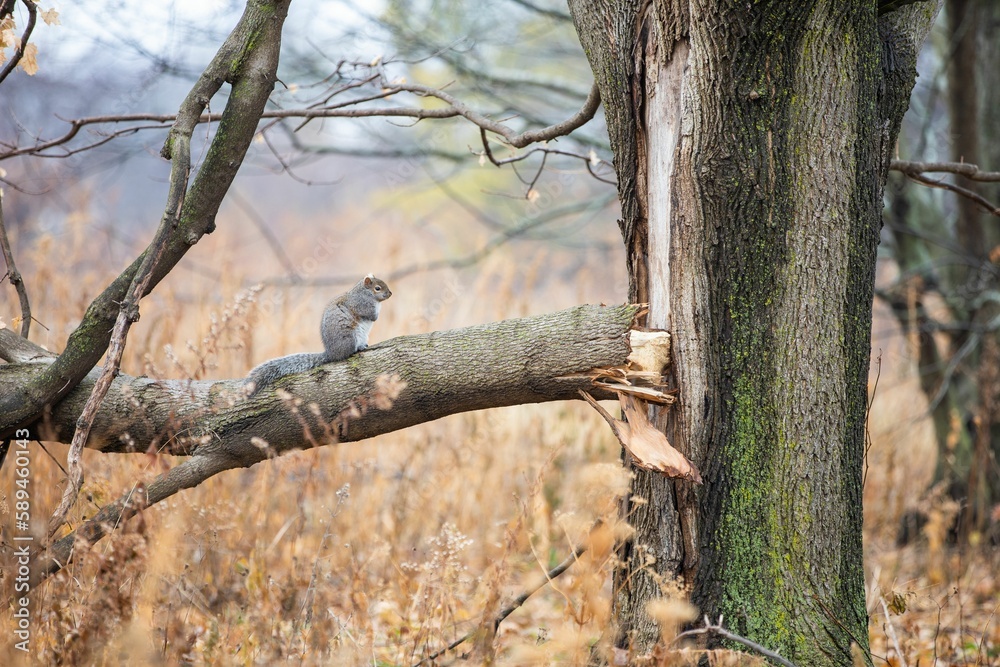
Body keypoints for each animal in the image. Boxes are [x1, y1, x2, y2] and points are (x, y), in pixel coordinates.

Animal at [245, 274, 392, 396]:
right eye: (378, 288)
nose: (390, 293)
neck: (364, 292)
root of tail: (331, 353)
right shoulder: (361, 304)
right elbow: (372, 315)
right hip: (350, 338)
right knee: (348, 353)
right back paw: (358, 349)